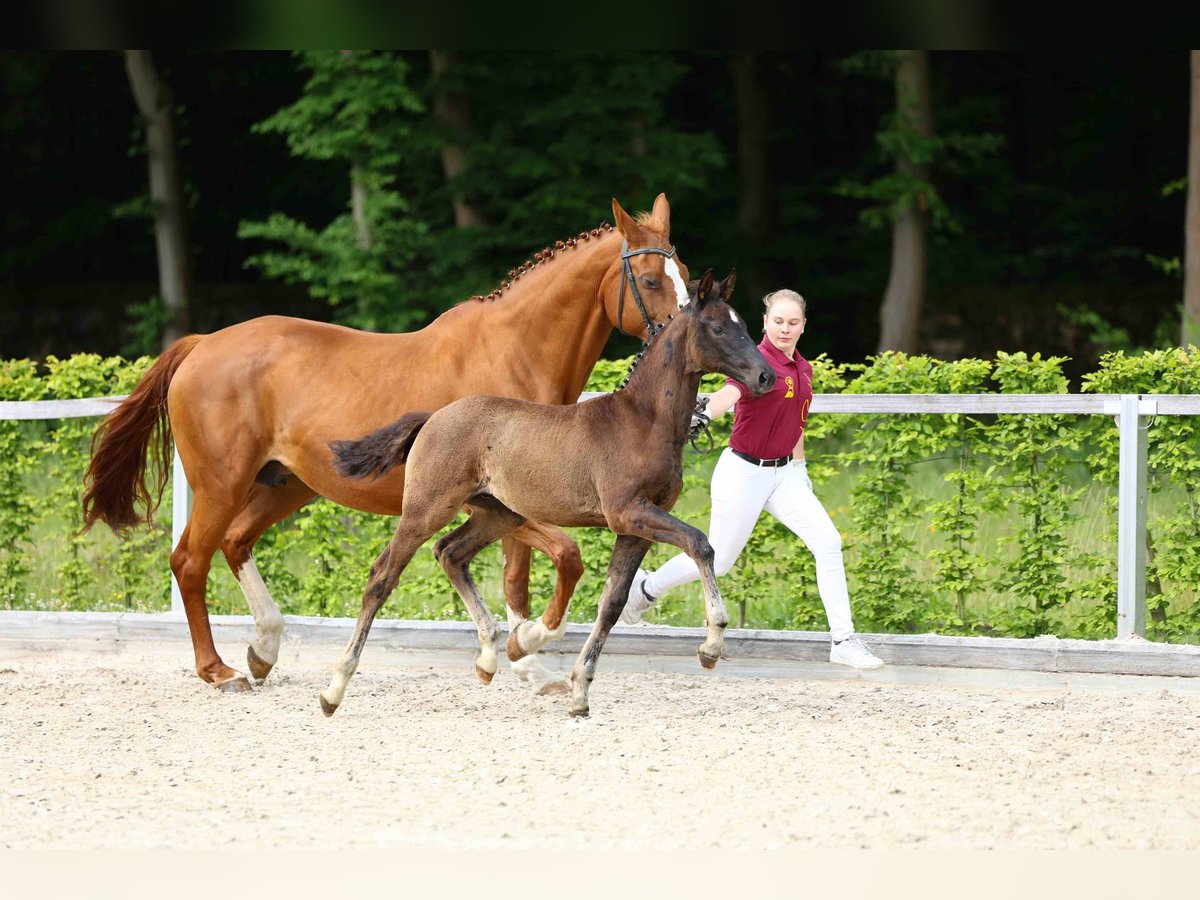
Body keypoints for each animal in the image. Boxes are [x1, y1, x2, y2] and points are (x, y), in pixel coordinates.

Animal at [84, 194, 696, 696]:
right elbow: (562, 558)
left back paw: (263, 650)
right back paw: (220, 670)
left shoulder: (507, 506)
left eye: (686, 273)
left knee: (235, 544)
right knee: (190, 560)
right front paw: (524, 649)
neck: (514, 353)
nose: (684, 341)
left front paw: (520, 657)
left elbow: (521, 575)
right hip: (221, 484)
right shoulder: (493, 502)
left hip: (288, 486)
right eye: (649, 279)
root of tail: (202, 344)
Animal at [321, 271, 768, 724]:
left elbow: (612, 603)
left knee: (450, 553)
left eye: (745, 325)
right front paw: (711, 645)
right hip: (427, 508)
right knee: (382, 577)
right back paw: (334, 689)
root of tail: (433, 417)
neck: (642, 422)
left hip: (498, 515)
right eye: (717, 328)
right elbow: (700, 543)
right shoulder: (629, 512)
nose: (765, 376)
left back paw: (489, 657)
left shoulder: (636, 526)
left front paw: (580, 693)